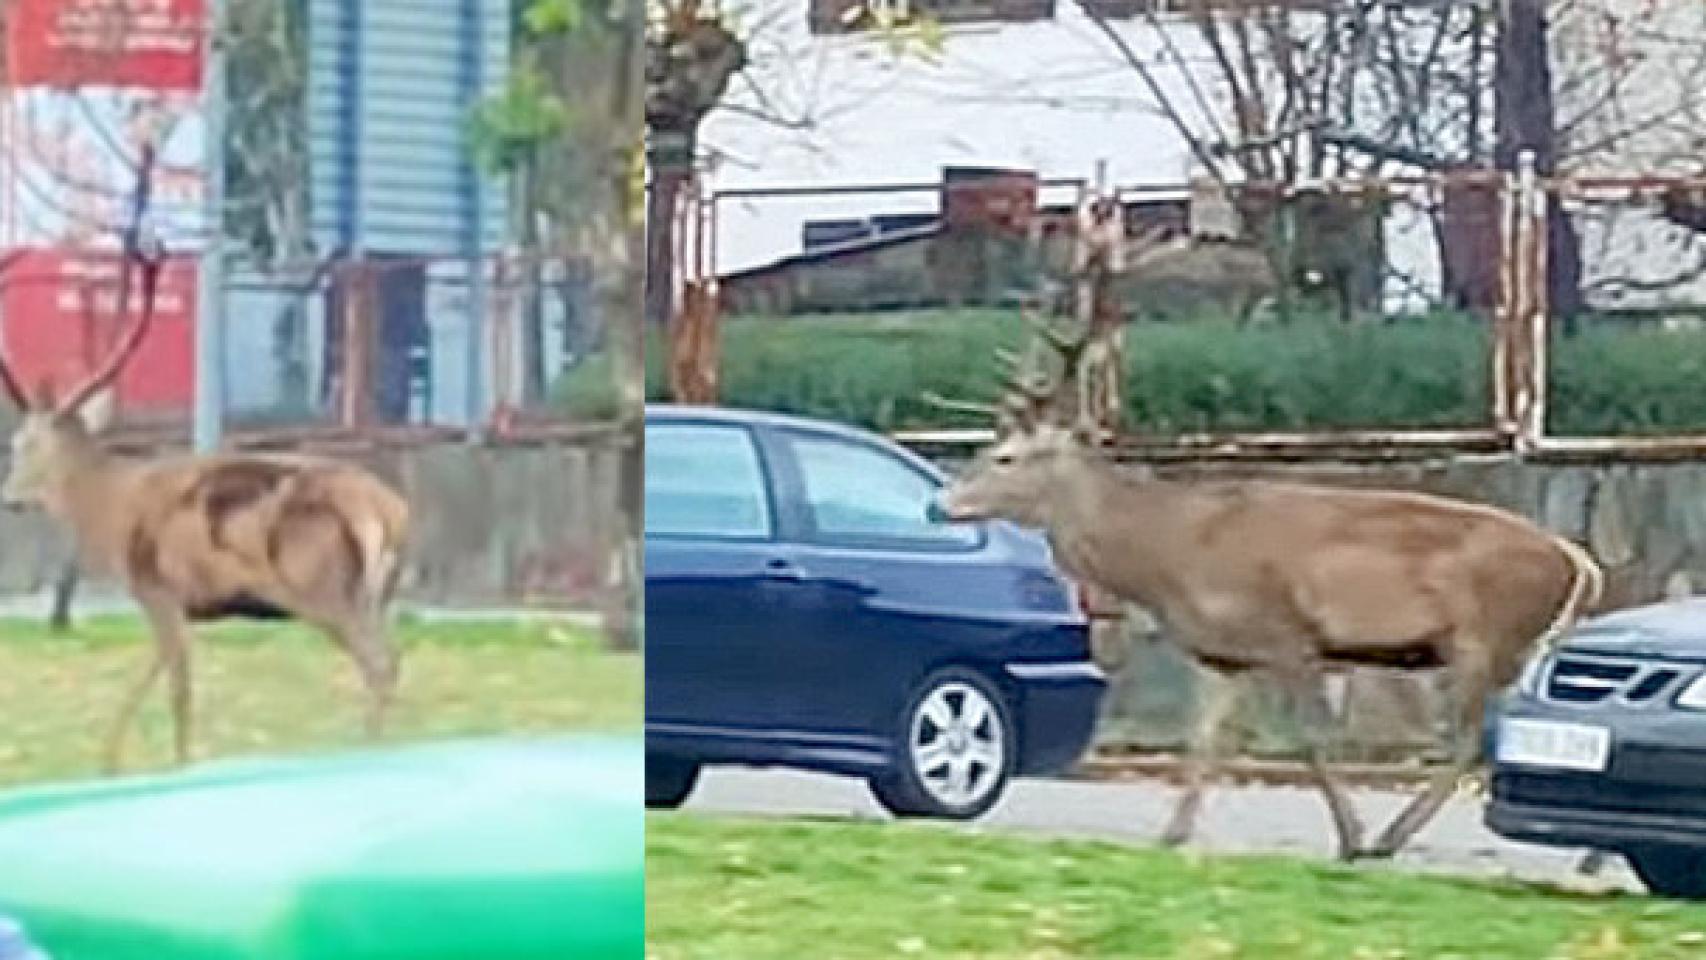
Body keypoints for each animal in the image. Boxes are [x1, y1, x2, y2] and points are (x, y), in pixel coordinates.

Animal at [0, 245, 411, 775]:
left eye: (26, 446)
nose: (11, 498)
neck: (108, 506)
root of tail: (387, 512)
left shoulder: (157, 587)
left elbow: (178, 689)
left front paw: (159, 763)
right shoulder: (177, 606)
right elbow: (157, 673)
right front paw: (112, 760)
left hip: (318, 586)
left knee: (378, 664)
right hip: (377, 592)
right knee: (392, 657)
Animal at [927, 321, 1604, 860]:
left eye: (1007, 457)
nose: (940, 506)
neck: (1171, 554)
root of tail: (1577, 562)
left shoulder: (1288, 633)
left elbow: (1310, 739)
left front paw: (1351, 838)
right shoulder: (1221, 654)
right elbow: (1205, 742)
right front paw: (1172, 836)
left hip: (1485, 637)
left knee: (1469, 742)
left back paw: (1390, 839)